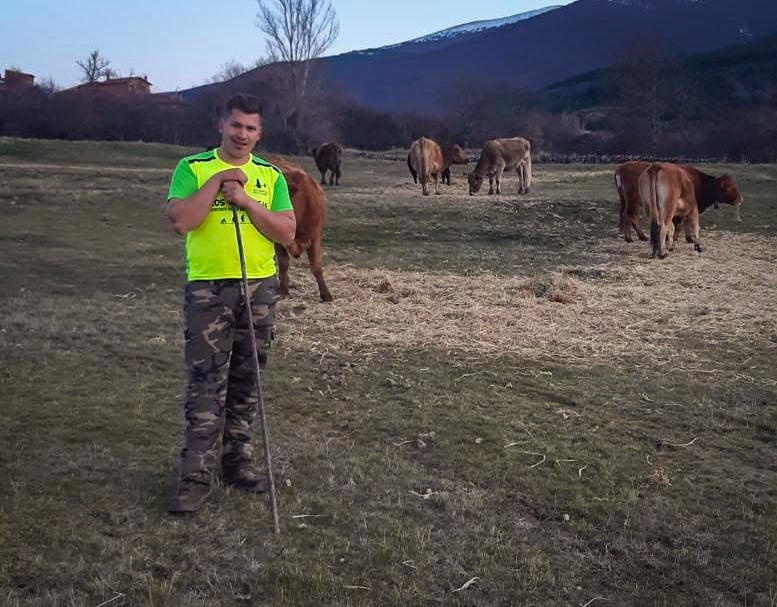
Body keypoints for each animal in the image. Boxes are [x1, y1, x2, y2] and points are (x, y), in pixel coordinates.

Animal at [266, 154, 332, 302]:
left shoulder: (315, 237)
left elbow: (316, 266)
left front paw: (325, 293)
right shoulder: (279, 241)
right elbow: (284, 263)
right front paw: (283, 290)